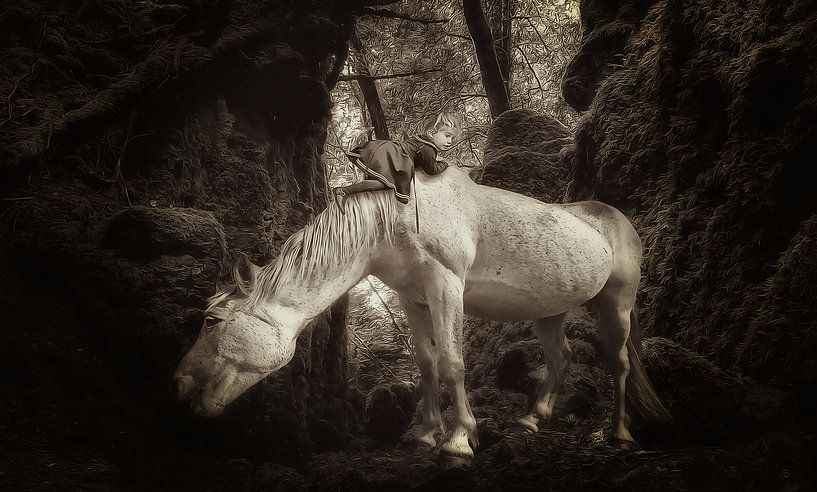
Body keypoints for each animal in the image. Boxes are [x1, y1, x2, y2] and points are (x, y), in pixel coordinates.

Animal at [174, 167, 672, 467]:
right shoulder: (412, 299)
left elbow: (452, 363)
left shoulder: (445, 286)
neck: (391, 220)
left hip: (616, 302)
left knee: (619, 363)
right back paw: (533, 418)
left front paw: (459, 442)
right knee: (561, 357)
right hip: (549, 311)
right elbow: (427, 364)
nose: (178, 382)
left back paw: (619, 433)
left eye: (211, 320)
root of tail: (617, 220)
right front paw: (426, 433)